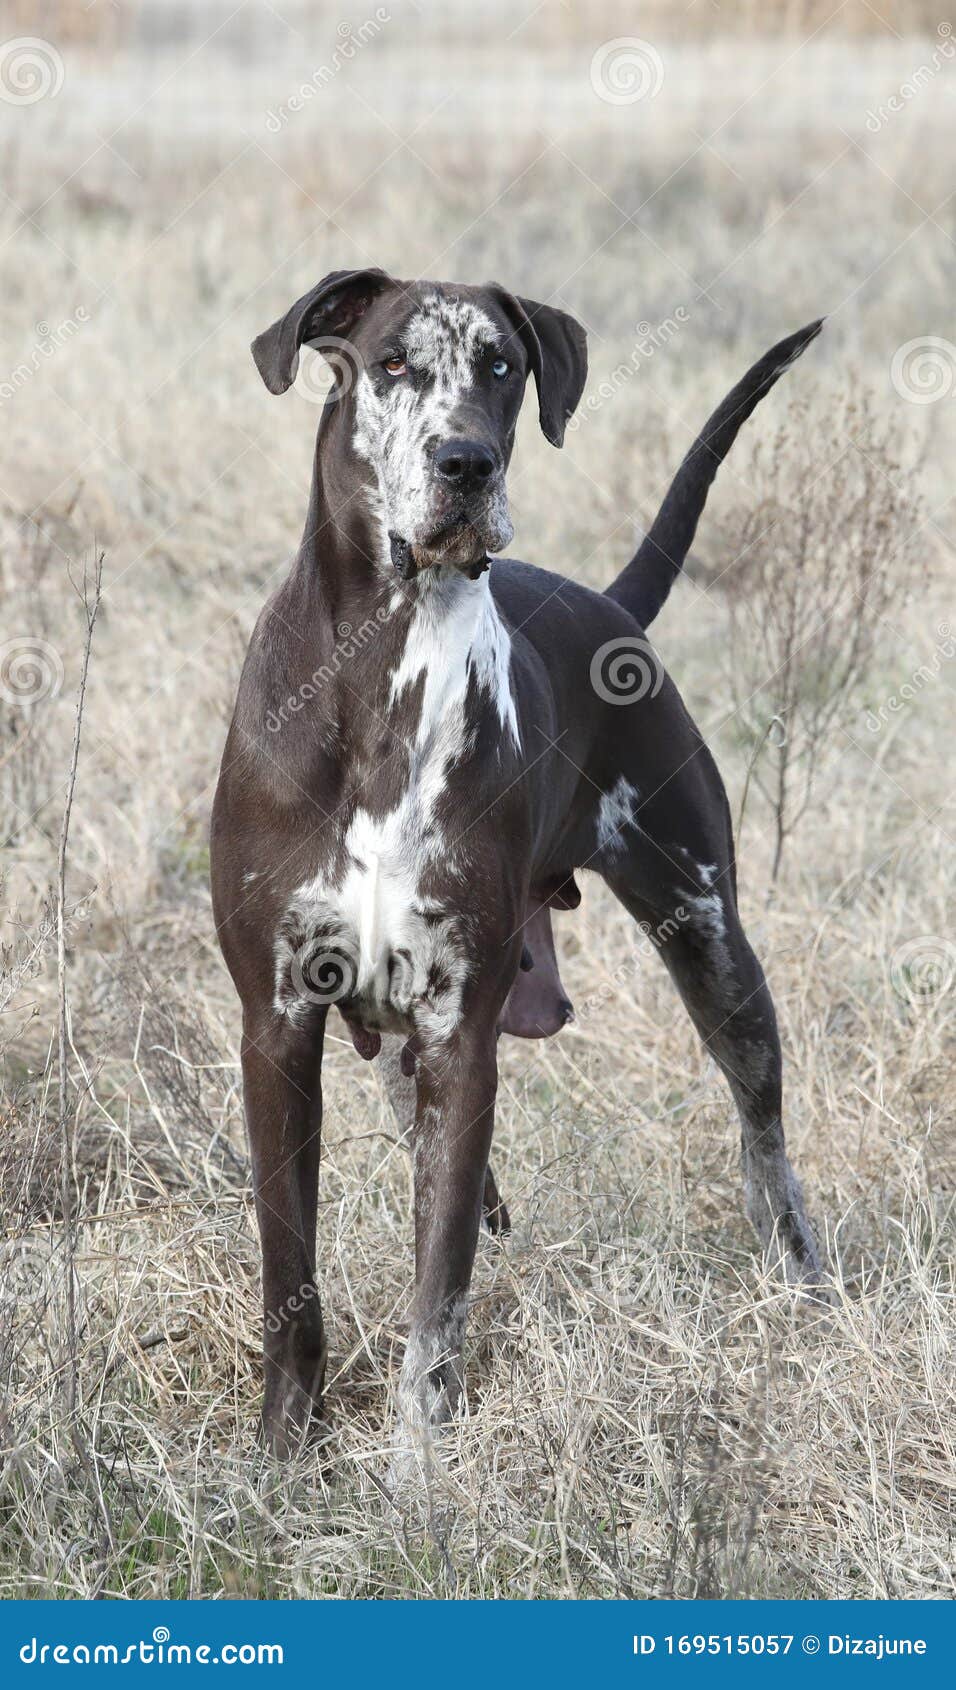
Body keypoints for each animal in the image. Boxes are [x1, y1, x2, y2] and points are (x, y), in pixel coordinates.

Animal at [213, 270, 827, 1460]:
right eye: (392, 362)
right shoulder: (279, 1028)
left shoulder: (463, 1036)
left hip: (712, 948)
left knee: (761, 1134)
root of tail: (612, 604)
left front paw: (417, 1462)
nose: (465, 464)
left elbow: (437, 1289)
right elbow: (288, 1273)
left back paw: (802, 1278)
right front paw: (282, 1450)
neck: (387, 670)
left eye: (501, 364)